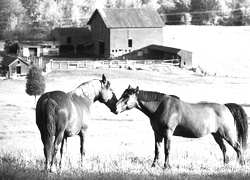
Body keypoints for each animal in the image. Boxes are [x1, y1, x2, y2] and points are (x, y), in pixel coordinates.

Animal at [115, 86, 248, 169]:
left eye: (127, 97)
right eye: (122, 94)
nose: (115, 108)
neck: (160, 107)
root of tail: (225, 106)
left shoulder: (168, 133)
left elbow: (167, 149)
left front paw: (167, 166)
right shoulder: (157, 133)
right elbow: (157, 150)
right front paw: (154, 165)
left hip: (227, 134)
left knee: (238, 147)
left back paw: (241, 164)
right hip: (217, 135)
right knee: (224, 149)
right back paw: (225, 164)